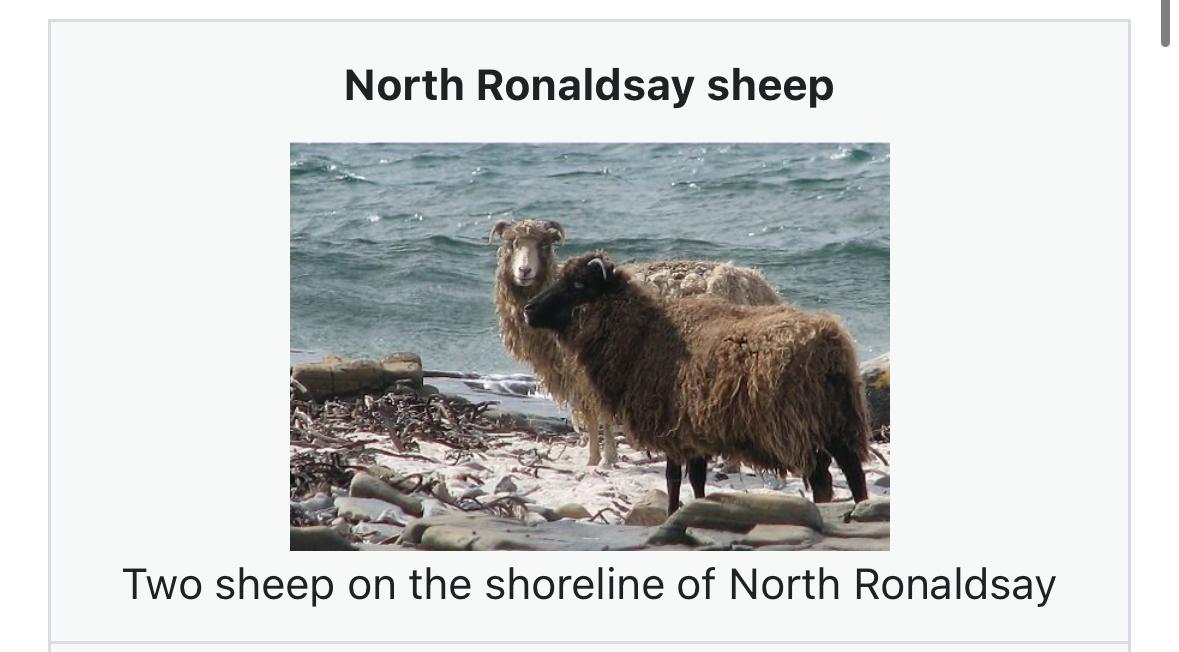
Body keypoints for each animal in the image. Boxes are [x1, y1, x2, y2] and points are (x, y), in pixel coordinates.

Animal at [489, 219, 783, 468]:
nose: (524, 271)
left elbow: (601, 417)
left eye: (544, 244)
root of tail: (758, 285)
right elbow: (593, 418)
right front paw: (595, 459)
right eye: (511, 244)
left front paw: (605, 459)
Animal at [522, 252, 871, 514]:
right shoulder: (693, 431)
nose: (529, 309)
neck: (643, 334)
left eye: (579, 284)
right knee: (853, 472)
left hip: (799, 425)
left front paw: (673, 512)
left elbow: (673, 479)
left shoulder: (672, 429)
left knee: (822, 477)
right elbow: (698, 481)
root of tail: (829, 340)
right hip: (839, 420)